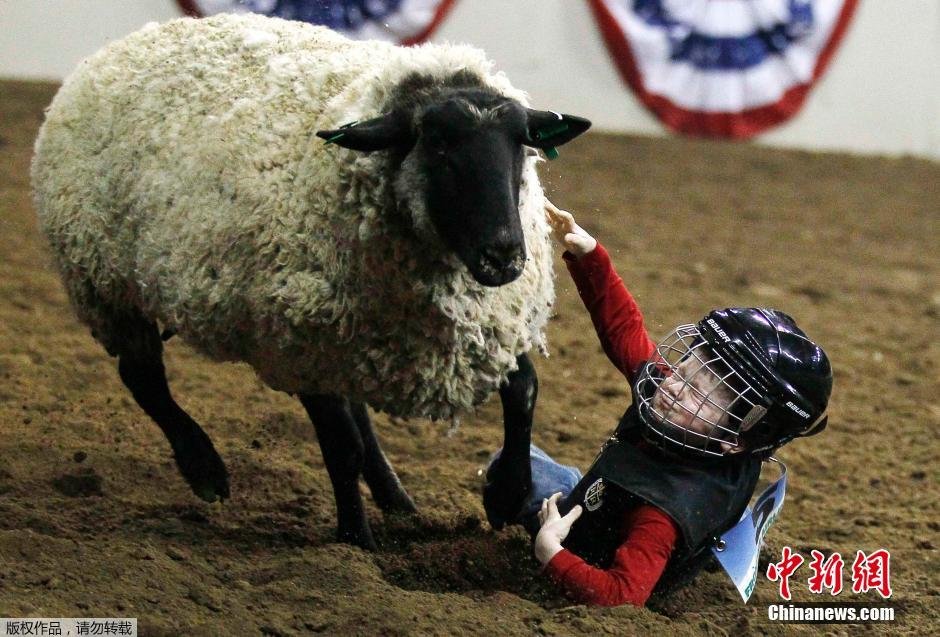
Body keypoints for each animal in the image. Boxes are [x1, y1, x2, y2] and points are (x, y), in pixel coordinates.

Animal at [33, 12, 592, 548]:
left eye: (521, 145)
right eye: (437, 145)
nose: (504, 255)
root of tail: (116, 47)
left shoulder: (486, 328)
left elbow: (524, 392)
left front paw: (508, 491)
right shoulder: (302, 341)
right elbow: (341, 447)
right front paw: (354, 542)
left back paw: (397, 501)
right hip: (104, 282)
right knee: (143, 377)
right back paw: (204, 467)